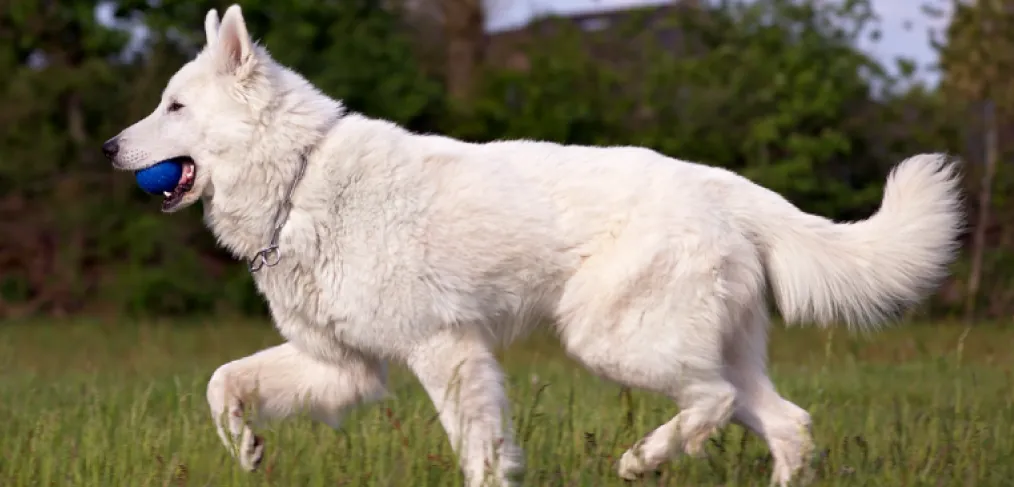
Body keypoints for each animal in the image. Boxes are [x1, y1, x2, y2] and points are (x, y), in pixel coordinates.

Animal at [104, 4, 965, 487]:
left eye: (174, 106)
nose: (111, 147)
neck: (303, 177)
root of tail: (723, 184)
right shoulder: (343, 367)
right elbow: (222, 381)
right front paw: (246, 446)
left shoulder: (447, 352)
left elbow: (482, 457)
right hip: (710, 351)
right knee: (787, 422)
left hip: (610, 338)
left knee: (713, 401)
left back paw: (644, 457)